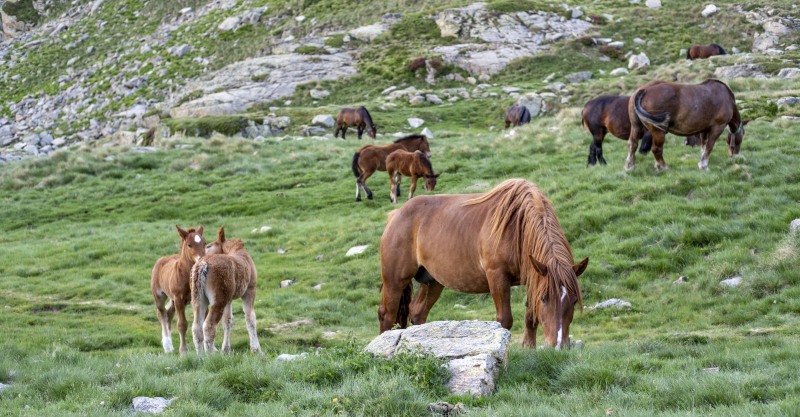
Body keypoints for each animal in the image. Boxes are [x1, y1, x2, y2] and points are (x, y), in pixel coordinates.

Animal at [150, 225, 206, 354]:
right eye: (189, 245)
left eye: (204, 243)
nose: (202, 259)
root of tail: (161, 260)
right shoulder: (179, 300)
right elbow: (182, 324)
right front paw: (184, 351)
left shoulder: (200, 299)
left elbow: (203, 324)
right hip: (160, 296)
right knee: (162, 312)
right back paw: (167, 345)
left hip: (172, 299)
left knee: (169, 313)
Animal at [379, 179, 589, 348]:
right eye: (545, 299)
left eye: (574, 300)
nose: (558, 346)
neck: (516, 227)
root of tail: (396, 215)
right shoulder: (497, 276)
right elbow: (505, 320)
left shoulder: (533, 276)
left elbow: (530, 317)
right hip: (395, 281)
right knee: (386, 314)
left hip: (433, 282)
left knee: (417, 312)